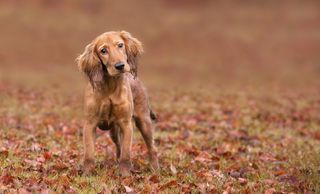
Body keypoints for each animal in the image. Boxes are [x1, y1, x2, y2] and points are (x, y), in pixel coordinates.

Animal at [75, 30, 160, 176]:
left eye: (120, 45)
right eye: (103, 51)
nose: (120, 66)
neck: (110, 86)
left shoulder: (126, 124)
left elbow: (126, 154)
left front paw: (125, 175)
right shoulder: (90, 125)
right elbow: (89, 153)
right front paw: (87, 174)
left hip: (144, 122)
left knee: (151, 147)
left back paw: (155, 168)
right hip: (114, 131)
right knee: (119, 145)